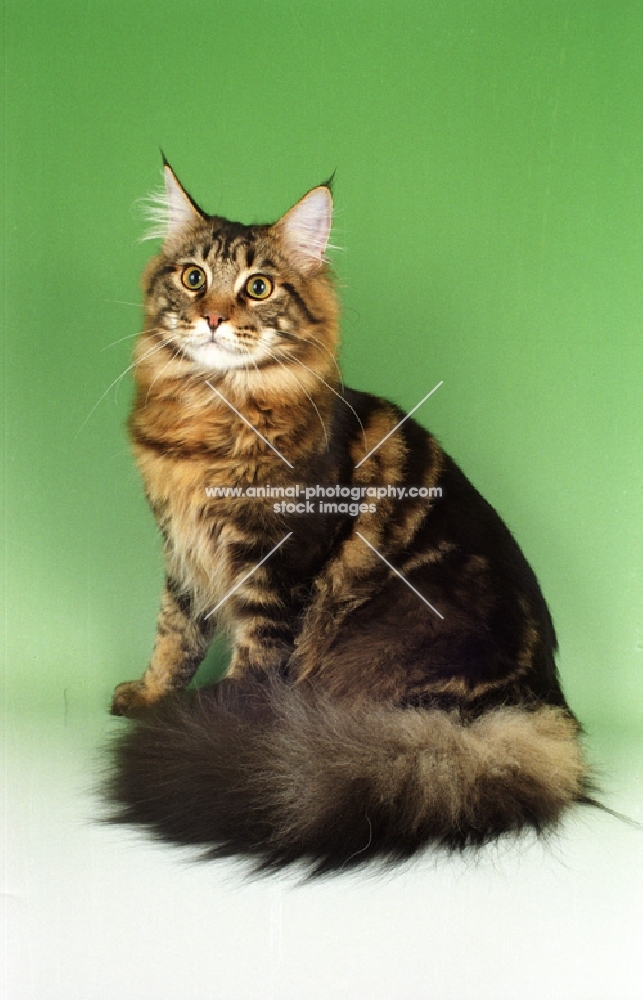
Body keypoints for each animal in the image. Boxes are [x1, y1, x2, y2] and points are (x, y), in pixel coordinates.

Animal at [107, 158, 592, 876]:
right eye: (193, 278)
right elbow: (174, 637)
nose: (214, 318)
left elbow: (251, 662)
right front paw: (150, 699)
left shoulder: (275, 566)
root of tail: (540, 714)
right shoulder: (184, 554)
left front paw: (212, 729)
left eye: (257, 288)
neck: (210, 413)